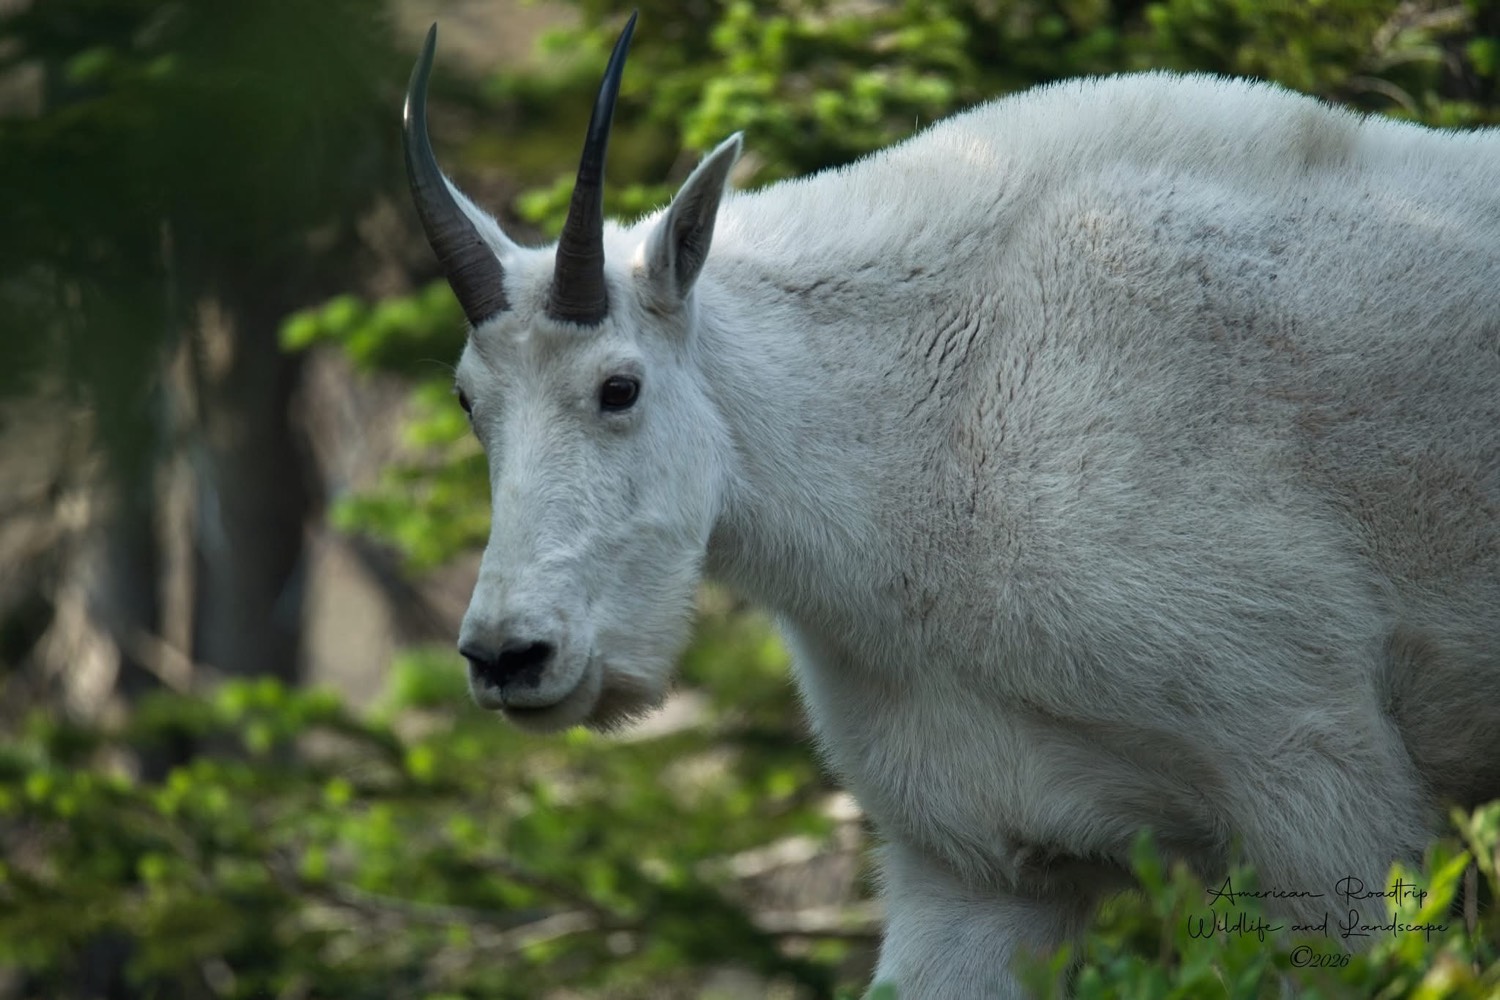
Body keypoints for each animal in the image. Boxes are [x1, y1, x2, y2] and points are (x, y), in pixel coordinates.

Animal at [402, 14, 1500, 997]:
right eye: (466, 400)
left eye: (619, 387)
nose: (507, 656)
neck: (932, 448)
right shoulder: (972, 858)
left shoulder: (1319, 775)